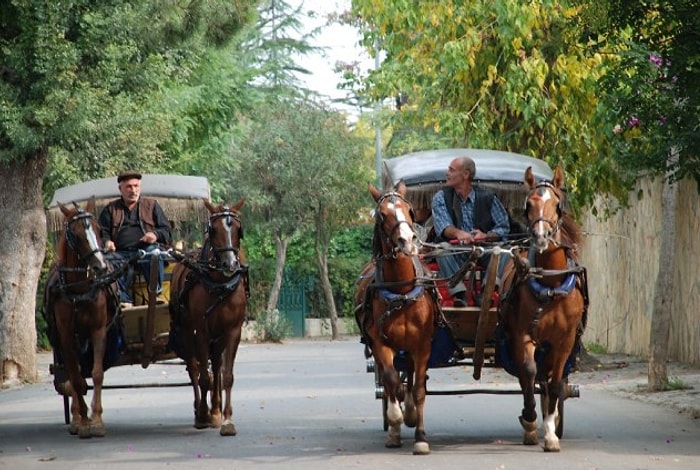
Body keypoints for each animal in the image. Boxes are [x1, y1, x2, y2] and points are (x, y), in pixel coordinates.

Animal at [43, 197, 116, 436]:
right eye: (74, 234)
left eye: (98, 229)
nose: (100, 267)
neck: (79, 289)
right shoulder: (66, 335)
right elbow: (75, 378)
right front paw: (83, 420)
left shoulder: (98, 330)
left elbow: (97, 373)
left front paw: (97, 420)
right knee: (70, 374)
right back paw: (75, 417)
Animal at [168, 196, 247, 436]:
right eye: (213, 229)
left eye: (238, 229)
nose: (230, 264)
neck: (219, 283)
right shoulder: (201, 331)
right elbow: (203, 376)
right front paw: (202, 415)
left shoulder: (233, 331)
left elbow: (226, 375)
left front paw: (227, 419)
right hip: (187, 331)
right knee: (195, 369)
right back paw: (201, 410)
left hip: (218, 336)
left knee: (216, 367)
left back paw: (216, 410)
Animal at [356, 182, 438, 454]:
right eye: (382, 214)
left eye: (409, 210)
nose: (407, 240)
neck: (401, 290)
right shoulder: (381, 343)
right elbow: (391, 380)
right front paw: (394, 420)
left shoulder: (422, 344)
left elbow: (420, 389)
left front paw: (421, 436)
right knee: (390, 379)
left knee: (411, 374)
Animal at [498, 166, 592, 452]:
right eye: (528, 204)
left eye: (557, 205)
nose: (541, 237)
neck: (551, 282)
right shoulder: (523, 334)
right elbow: (529, 372)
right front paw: (529, 420)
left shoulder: (565, 340)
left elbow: (555, 381)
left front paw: (550, 432)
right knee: (526, 375)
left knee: (549, 377)